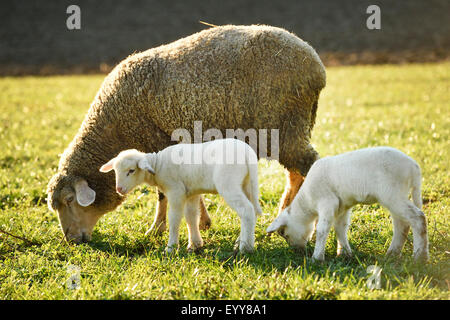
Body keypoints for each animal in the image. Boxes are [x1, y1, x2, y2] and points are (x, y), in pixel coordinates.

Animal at [98, 139, 260, 254]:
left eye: (131, 170)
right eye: (115, 171)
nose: (119, 189)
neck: (158, 165)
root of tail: (248, 154)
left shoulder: (176, 191)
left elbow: (175, 218)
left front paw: (171, 247)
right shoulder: (191, 193)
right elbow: (191, 217)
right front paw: (195, 244)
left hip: (228, 183)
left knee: (246, 210)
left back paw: (246, 248)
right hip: (246, 184)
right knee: (252, 210)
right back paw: (241, 241)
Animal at [268, 146, 428, 262]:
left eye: (284, 233)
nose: (296, 251)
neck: (307, 200)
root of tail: (414, 167)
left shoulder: (327, 202)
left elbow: (322, 230)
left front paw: (317, 258)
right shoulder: (342, 206)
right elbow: (340, 228)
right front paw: (344, 253)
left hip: (392, 194)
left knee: (418, 218)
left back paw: (420, 257)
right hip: (396, 195)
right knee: (402, 224)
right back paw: (392, 253)